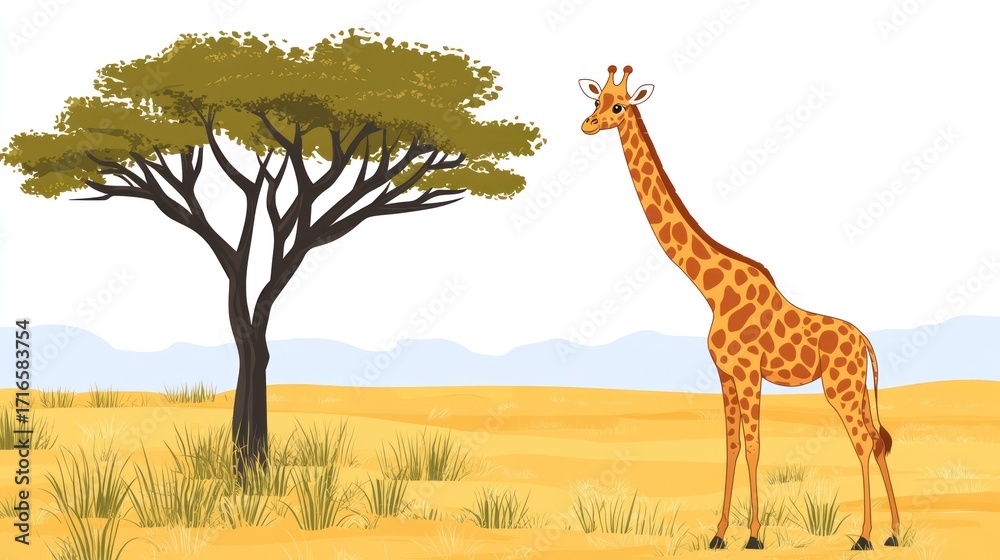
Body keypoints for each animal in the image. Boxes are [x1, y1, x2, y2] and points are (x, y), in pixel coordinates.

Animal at [578, 65, 901, 551]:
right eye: (596, 101)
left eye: (618, 106)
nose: (588, 124)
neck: (712, 291)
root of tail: (865, 341)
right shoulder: (726, 373)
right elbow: (729, 446)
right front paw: (718, 535)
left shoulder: (749, 371)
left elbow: (753, 446)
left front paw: (753, 537)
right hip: (856, 388)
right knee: (877, 441)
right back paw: (894, 533)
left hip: (840, 387)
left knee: (863, 443)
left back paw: (863, 537)